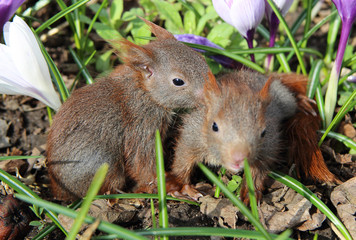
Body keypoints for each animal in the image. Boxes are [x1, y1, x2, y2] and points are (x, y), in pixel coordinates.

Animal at [44, 17, 211, 200]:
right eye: (178, 81)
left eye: (201, 58)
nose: (212, 91)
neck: (143, 90)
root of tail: (59, 193)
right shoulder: (140, 127)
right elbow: (142, 163)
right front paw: (170, 186)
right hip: (103, 164)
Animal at [170, 70, 340, 202]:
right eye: (214, 126)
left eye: (263, 132)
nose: (239, 158)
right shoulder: (192, 135)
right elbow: (183, 159)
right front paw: (181, 186)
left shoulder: (267, 148)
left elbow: (258, 169)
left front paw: (249, 193)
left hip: (284, 99)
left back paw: (303, 102)